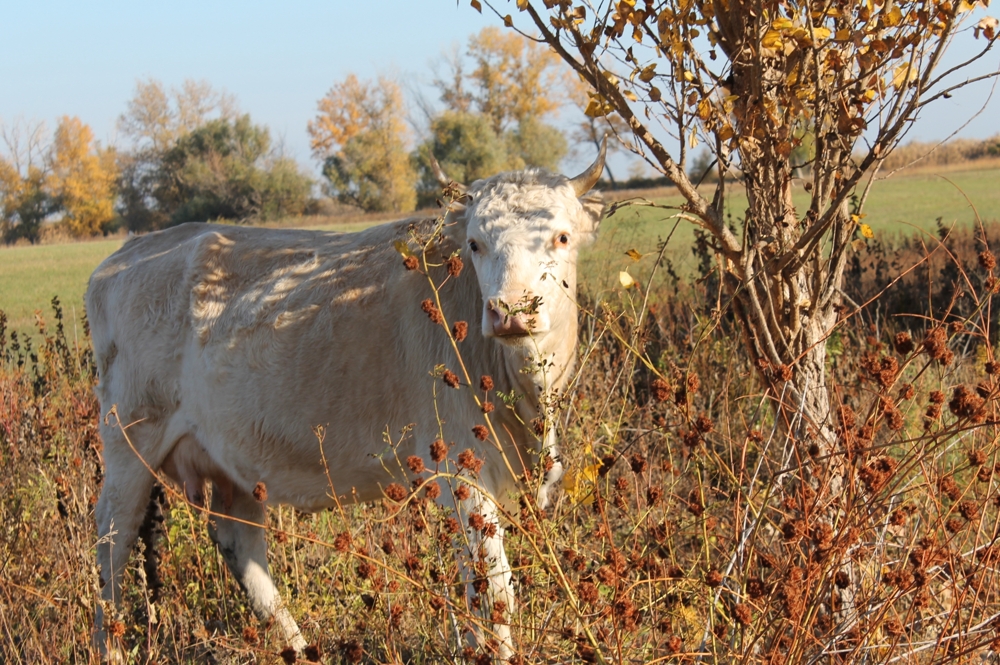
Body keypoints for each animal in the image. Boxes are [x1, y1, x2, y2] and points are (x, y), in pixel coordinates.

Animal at [92, 143, 608, 656]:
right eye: (476, 243)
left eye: (562, 237)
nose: (510, 312)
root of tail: (129, 251)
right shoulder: (460, 465)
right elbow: (493, 588)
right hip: (130, 439)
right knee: (112, 541)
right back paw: (108, 646)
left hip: (232, 460)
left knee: (242, 547)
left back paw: (298, 648)